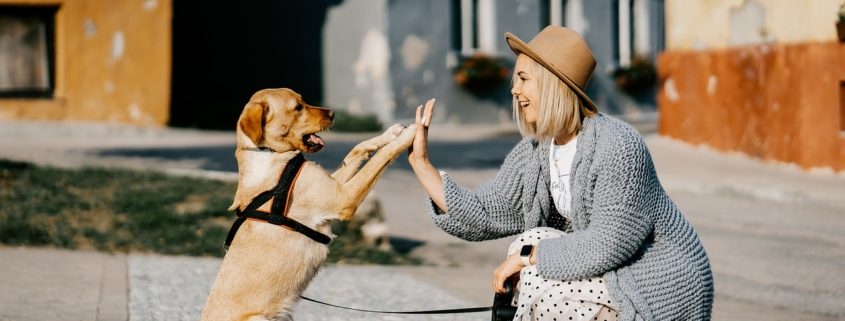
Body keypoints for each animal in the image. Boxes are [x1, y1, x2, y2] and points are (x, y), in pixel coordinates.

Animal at [202, 87, 418, 320]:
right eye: (298, 107)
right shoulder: (343, 197)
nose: (333, 113)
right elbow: (381, 158)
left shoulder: (335, 185)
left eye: (303, 100)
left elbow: (358, 148)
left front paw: (392, 132)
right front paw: (411, 133)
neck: (268, 153)